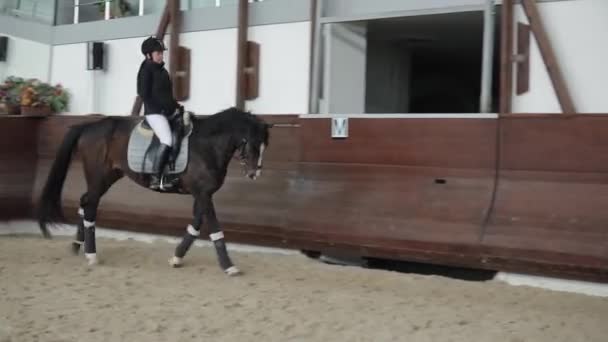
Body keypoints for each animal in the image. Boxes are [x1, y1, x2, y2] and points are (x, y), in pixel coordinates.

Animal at [34, 105, 270, 276]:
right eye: (252, 143)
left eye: (264, 145)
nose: (254, 174)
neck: (207, 145)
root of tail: (90, 126)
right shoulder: (203, 194)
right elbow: (214, 228)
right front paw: (229, 266)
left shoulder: (202, 194)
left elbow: (195, 226)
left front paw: (176, 258)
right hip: (98, 176)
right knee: (90, 205)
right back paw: (91, 255)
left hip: (107, 177)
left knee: (85, 202)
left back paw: (77, 246)